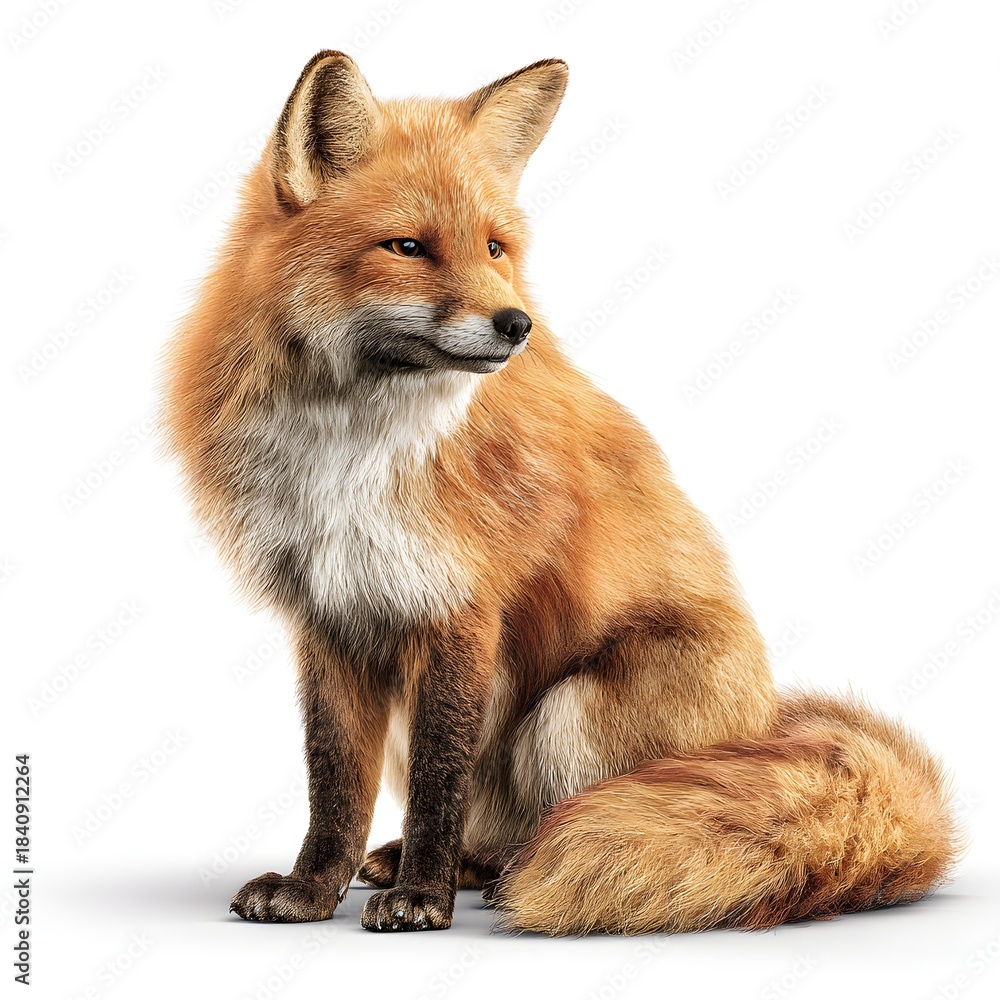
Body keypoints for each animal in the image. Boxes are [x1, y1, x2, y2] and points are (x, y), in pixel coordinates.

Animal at [162, 51, 960, 935]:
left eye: (495, 247)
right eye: (408, 247)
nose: (517, 325)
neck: (351, 447)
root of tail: (765, 721)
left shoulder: (461, 609)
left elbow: (440, 785)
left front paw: (422, 899)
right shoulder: (330, 616)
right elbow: (334, 784)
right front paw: (311, 891)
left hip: (569, 712)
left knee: (550, 821)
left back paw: (490, 876)